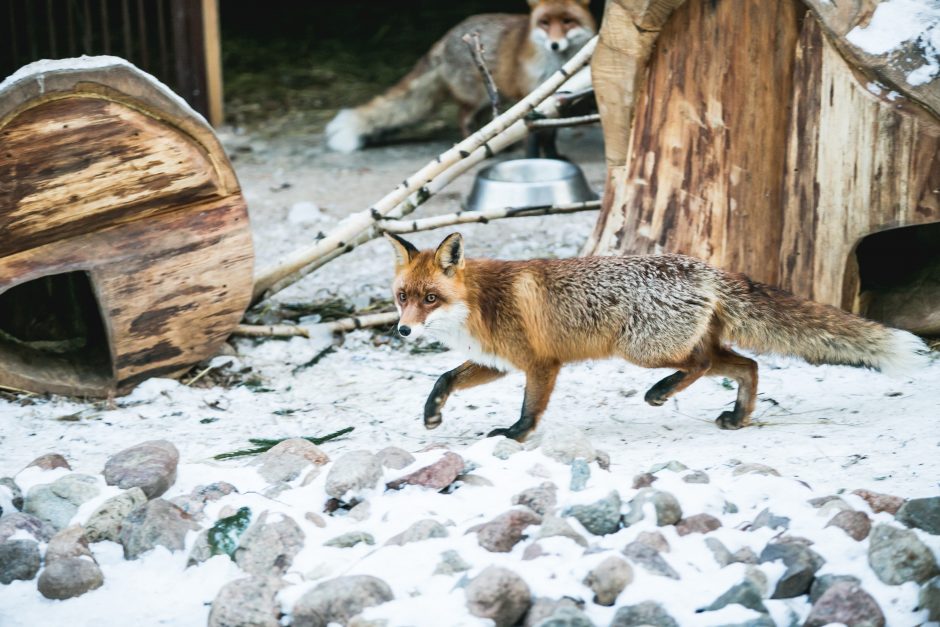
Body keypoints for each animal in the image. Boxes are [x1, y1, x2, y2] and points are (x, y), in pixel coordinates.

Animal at [326, 0, 596, 152]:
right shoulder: (530, 96)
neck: (557, 64)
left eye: (568, 22)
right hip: (477, 98)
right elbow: (535, 139)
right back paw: (476, 148)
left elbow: (549, 138)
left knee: (484, 123)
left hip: (490, 98)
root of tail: (444, 38)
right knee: (464, 119)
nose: (555, 45)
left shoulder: (553, 102)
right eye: (545, 23)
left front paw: (554, 157)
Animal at [386, 232, 928, 442]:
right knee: (747, 365)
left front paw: (515, 435)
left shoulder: (540, 365)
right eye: (402, 297)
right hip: (677, 344)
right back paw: (738, 416)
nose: (403, 329)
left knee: (705, 365)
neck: (477, 304)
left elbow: (529, 409)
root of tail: (705, 268)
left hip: (644, 350)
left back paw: (662, 393)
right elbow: (443, 378)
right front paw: (432, 414)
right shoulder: (496, 362)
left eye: (430, 298)